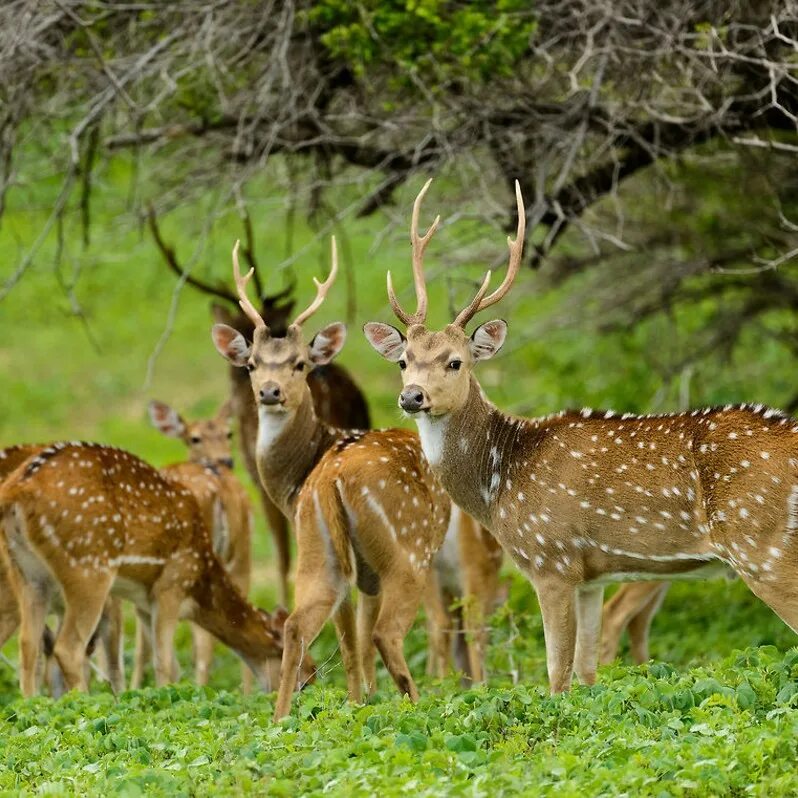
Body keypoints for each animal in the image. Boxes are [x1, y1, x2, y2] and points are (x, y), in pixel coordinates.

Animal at [368, 178, 798, 696]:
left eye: (455, 361)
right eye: (403, 361)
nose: (412, 396)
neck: (500, 481)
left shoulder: (551, 559)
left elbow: (557, 675)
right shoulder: (593, 576)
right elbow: (588, 675)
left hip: (762, 545)